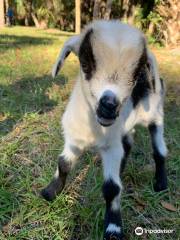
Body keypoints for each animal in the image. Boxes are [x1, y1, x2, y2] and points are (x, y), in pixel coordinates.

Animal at [41, 21, 168, 240]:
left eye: (136, 75)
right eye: (85, 64)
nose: (109, 106)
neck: (94, 130)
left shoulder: (111, 148)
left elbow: (111, 188)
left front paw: (113, 227)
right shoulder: (74, 139)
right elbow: (63, 163)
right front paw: (51, 192)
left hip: (155, 115)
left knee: (159, 149)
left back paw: (160, 183)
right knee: (128, 143)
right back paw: (123, 169)